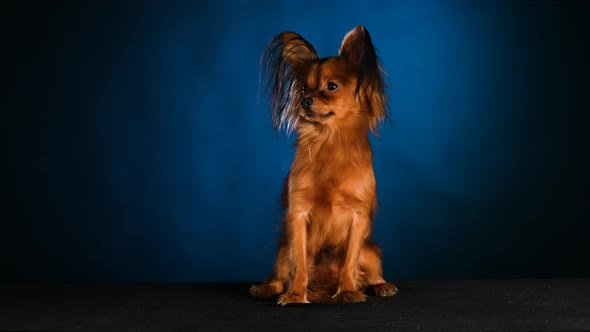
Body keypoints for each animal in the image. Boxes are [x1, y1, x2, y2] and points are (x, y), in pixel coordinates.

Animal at [250, 25, 398, 306]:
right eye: (304, 89)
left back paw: (381, 286)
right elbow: (299, 263)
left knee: (369, 270)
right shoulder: (298, 215)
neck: (329, 140)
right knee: (280, 275)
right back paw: (265, 288)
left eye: (332, 86)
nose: (304, 101)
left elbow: (349, 261)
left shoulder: (358, 217)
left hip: (371, 252)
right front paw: (296, 294)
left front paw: (349, 291)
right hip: (281, 251)